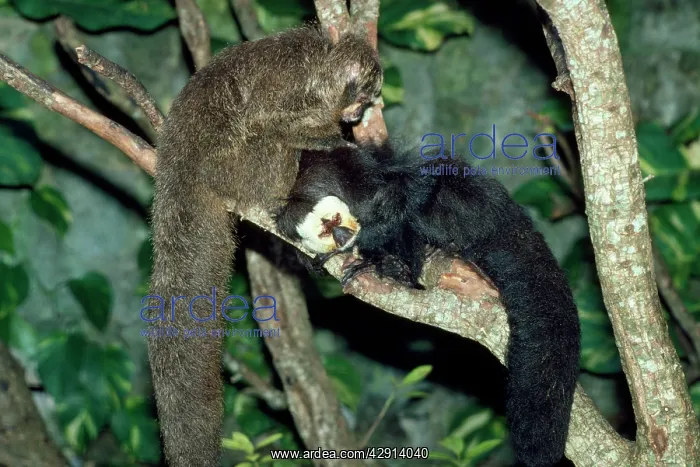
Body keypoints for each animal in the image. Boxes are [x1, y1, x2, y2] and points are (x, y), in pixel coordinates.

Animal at [144, 26, 383, 466]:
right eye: (360, 100)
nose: (357, 116)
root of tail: (178, 169)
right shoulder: (294, 86)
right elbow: (272, 122)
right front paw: (332, 143)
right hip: (234, 169)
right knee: (271, 140)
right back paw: (281, 201)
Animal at [275, 142, 581, 467]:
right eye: (325, 233)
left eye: (333, 221)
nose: (343, 235)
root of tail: (507, 220)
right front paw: (321, 259)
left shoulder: (354, 179)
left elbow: (404, 191)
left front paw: (376, 247)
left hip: (475, 211)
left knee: (427, 194)